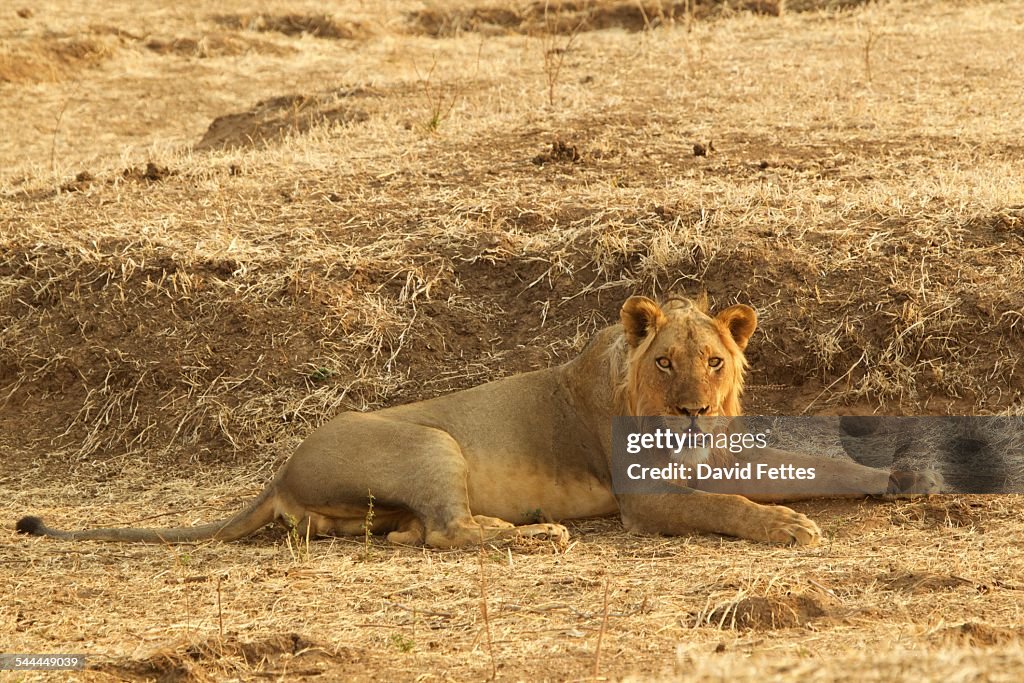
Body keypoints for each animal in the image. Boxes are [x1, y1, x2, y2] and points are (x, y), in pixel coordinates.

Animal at [16, 292, 942, 544]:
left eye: (715, 360)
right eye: (665, 361)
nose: (695, 408)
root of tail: (276, 472)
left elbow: (809, 465)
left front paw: (902, 473)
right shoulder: (646, 496)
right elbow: (728, 507)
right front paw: (786, 525)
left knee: (412, 533)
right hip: (434, 440)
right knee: (446, 532)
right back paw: (534, 535)